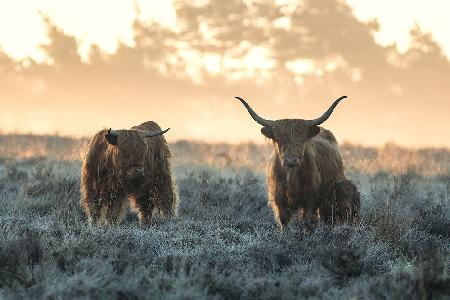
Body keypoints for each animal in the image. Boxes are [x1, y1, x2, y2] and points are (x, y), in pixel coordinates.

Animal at [236, 97, 352, 229]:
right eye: (279, 140)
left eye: (302, 140)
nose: (290, 160)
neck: (291, 177)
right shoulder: (279, 201)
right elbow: (284, 222)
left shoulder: (310, 200)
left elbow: (307, 221)